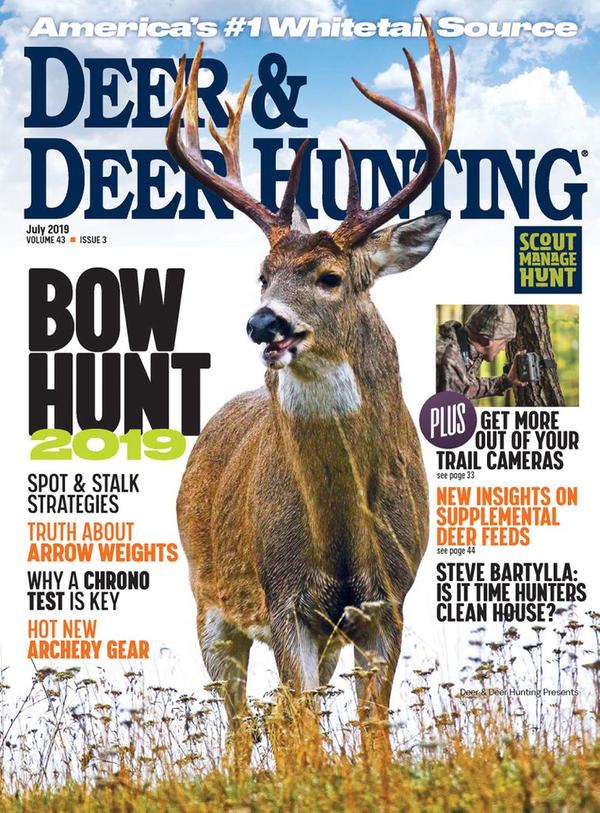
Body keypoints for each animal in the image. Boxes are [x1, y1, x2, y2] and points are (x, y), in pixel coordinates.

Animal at [169, 16, 456, 756]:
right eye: (261, 275)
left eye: (328, 277)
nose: (263, 321)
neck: (339, 536)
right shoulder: (284, 598)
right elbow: (302, 723)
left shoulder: (389, 599)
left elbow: (372, 725)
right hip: (209, 600)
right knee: (244, 721)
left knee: (274, 716)